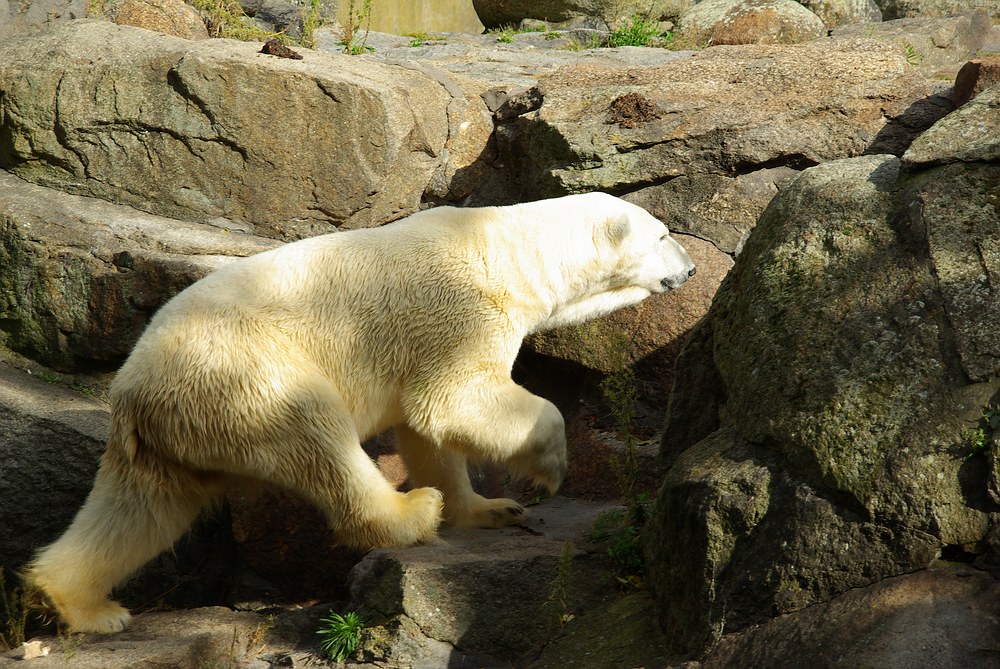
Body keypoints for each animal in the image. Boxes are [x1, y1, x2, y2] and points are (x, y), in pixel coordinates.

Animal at [25, 192, 696, 632]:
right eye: (664, 234)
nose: (691, 268)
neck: (502, 250)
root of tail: (133, 390)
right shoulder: (458, 311)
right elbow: (453, 399)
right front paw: (546, 471)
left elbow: (429, 430)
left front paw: (488, 508)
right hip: (246, 371)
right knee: (316, 436)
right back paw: (408, 512)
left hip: (176, 429)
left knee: (140, 509)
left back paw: (82, 605)